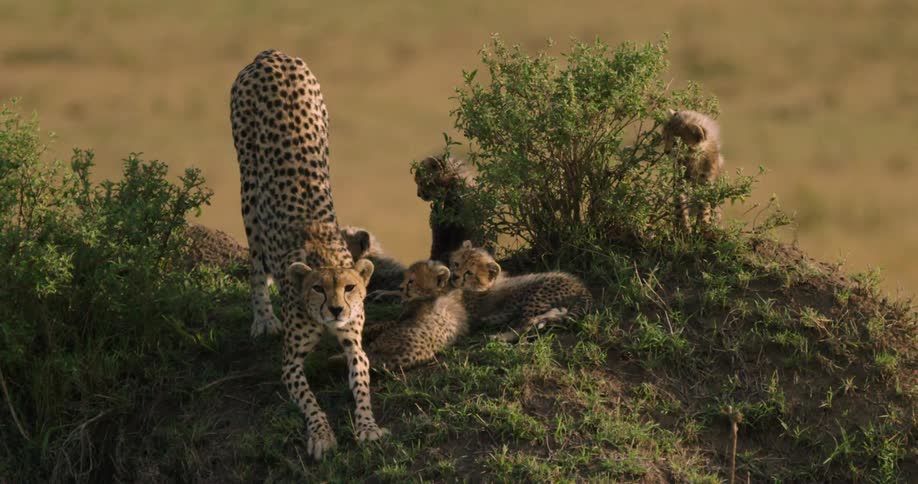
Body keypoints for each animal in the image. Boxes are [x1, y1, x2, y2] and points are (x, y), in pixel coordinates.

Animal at [230, 49, 386, 460]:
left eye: (350, 288)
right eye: (317, 288)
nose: (336, 309)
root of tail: (272, 54)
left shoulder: (355, 346)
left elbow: (362, 387)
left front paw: (368, 427)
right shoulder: (290, 362)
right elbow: (310, 401)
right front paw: (321, 434)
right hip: (249, 186)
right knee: (255, 261)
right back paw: (263, 318)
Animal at [450, 241, 593, 343]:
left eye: (469, 273)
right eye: (456, 264)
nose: (454, 276)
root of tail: (579, 285)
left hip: (536, 297)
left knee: (525, 328)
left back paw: (499, 337)